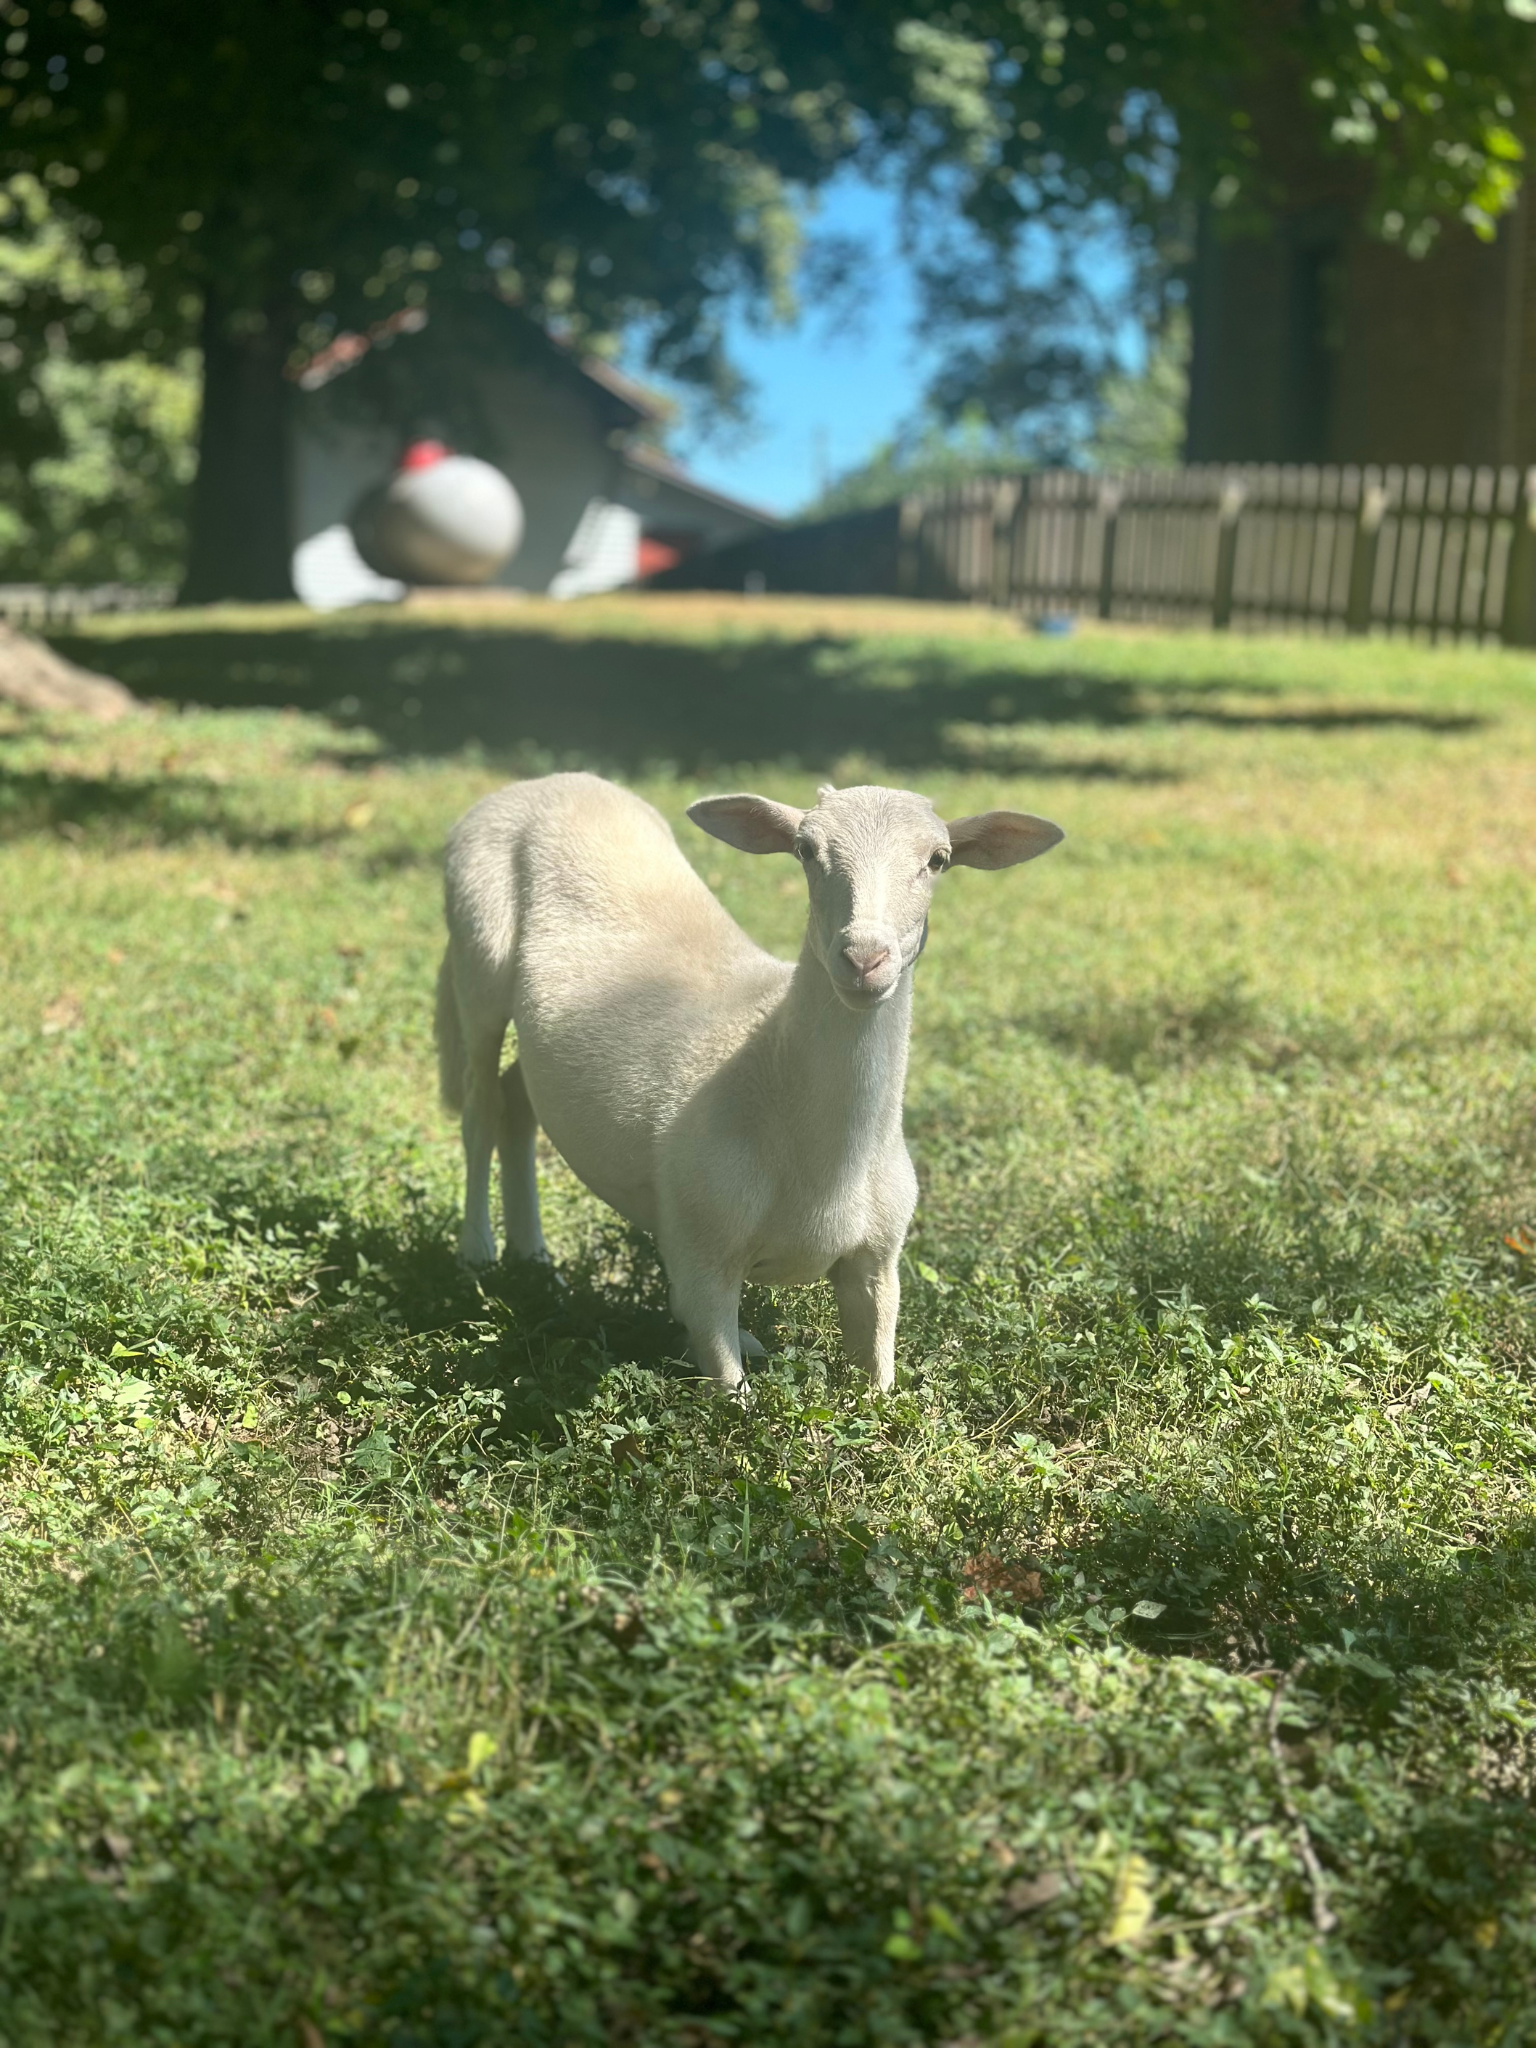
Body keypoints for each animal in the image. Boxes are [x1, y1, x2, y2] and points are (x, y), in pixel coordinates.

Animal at [435, 772, 1063, 1394]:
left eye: (938, 860)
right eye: (806, 850)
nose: (865, 959)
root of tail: (548, 781)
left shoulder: (879, 1263)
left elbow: (880, 1391)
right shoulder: (703, 1255)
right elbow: (732, 1400)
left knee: (518, 1098)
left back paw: (535, 1262)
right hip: (477, 950)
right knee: (480, 1107)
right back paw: (477, 1255)